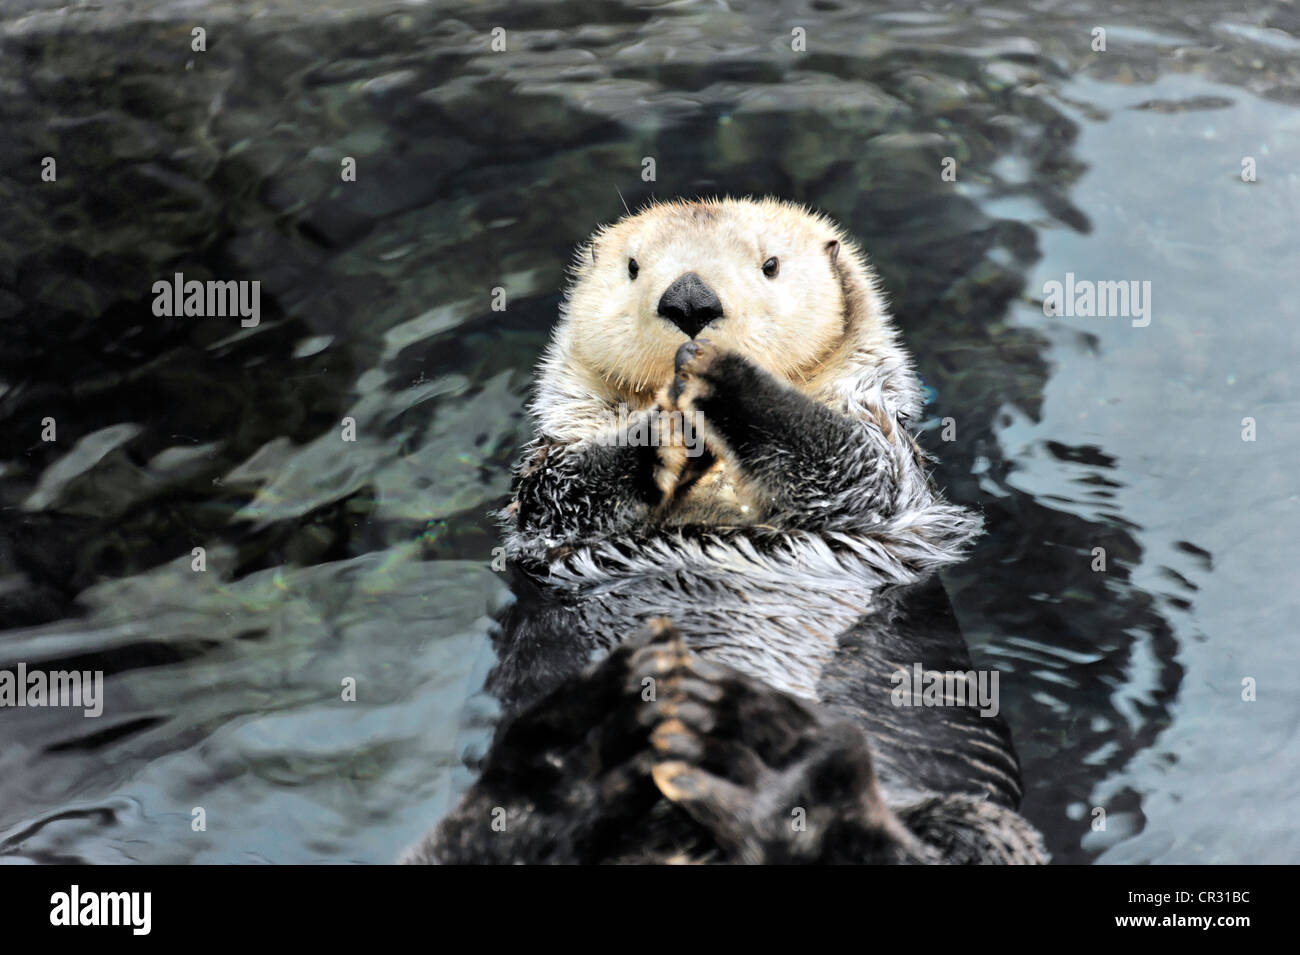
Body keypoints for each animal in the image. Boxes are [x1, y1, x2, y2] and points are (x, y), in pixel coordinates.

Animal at [405, 196, 1045, 867]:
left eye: (771, 265)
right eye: (633, 268)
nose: (690, 301)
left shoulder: (887, 464)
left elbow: (849, 465)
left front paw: (729, 380)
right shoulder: (543, 489)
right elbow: (561, 491)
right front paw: (657, 435)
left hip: (965, 817)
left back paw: (764, 764)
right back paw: (583, 748)